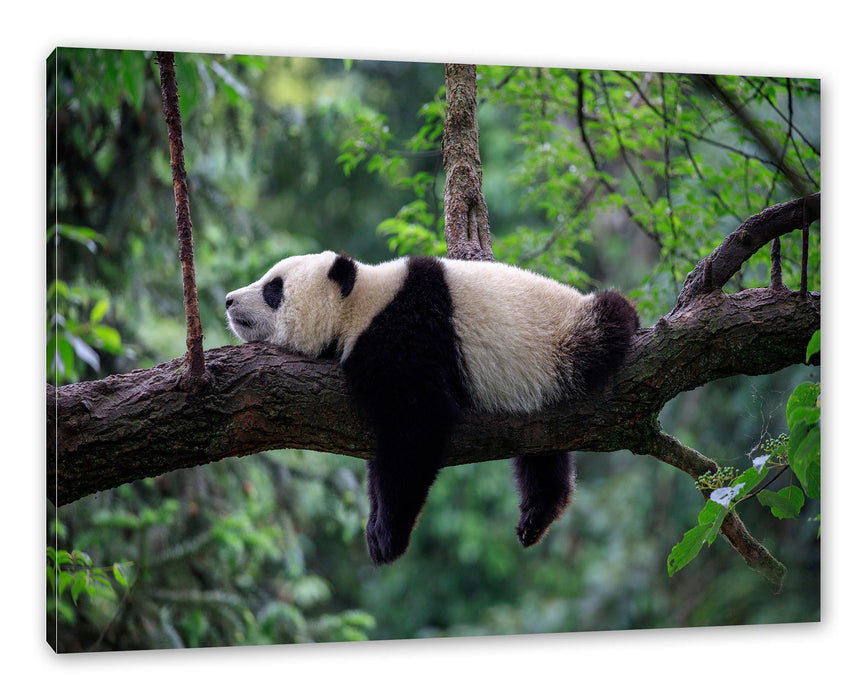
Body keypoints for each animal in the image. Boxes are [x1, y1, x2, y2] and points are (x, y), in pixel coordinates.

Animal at [226, 251, 638, 565]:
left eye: (273, 288)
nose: (229, 300)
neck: (361, 303)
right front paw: (375, 524)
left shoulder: (407, 334)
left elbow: (416, 428)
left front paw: (387, 536)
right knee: (542, 449)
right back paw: (538, 513)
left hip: (563, 342)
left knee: (608, 322)